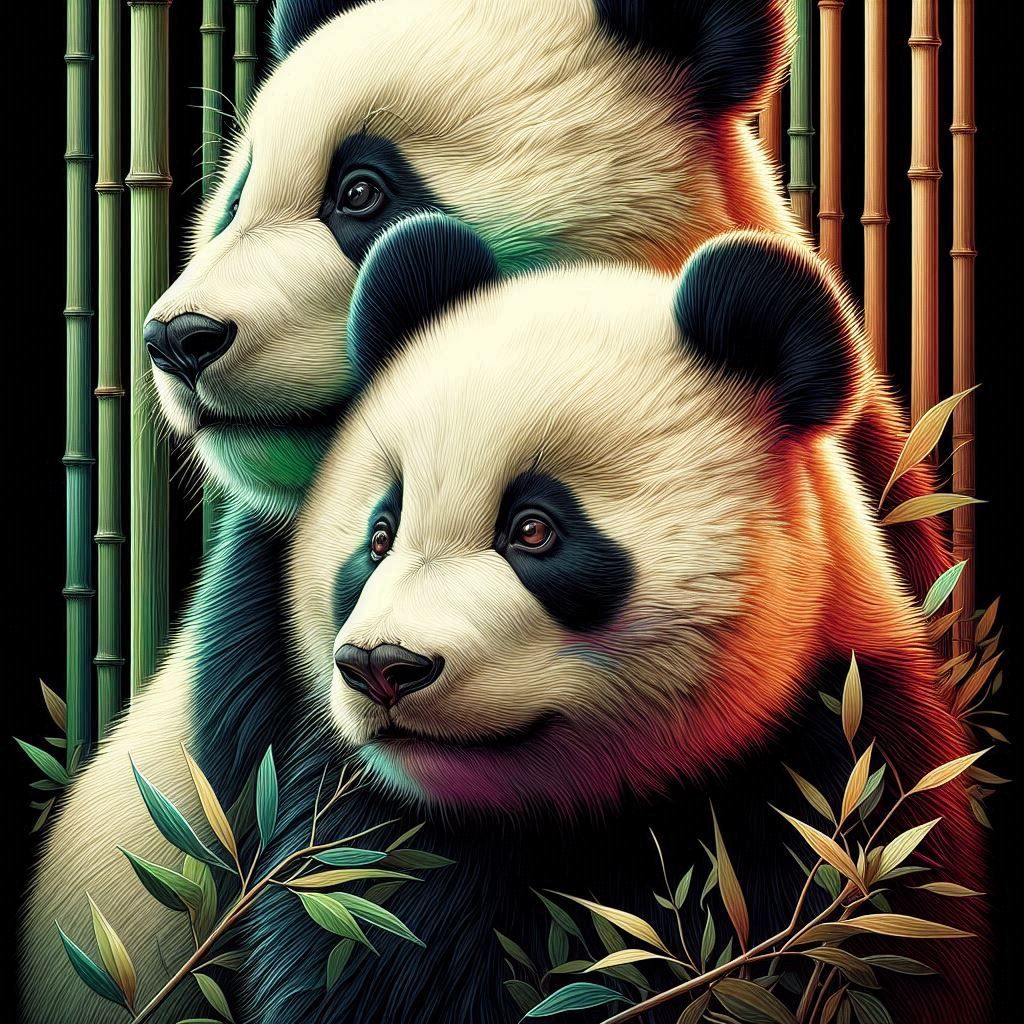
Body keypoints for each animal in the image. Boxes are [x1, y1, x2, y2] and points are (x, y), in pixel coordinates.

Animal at [216, 214, 985, 1023]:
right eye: (380, 536)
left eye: (534, 530)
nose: (382, 667)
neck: (577, 810)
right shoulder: (374, 842)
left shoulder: (841, 780)